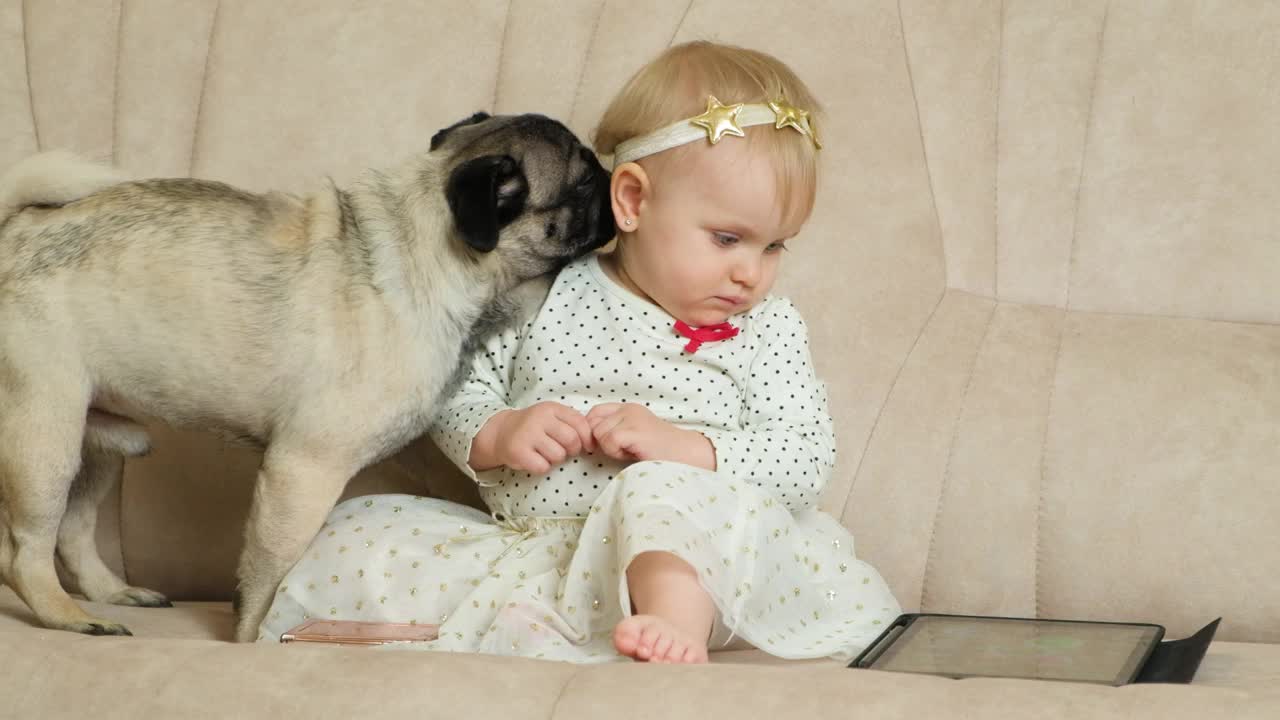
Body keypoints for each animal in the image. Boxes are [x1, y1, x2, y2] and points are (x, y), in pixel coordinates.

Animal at [0, 112, 614, 638]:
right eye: (585, 183)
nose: (612, 178)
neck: (430, 254)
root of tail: (13, 230)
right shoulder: (302, 470)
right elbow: (268, 576)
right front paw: (253, 639)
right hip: (44, 434)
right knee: (25, 552)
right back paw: (68, 616)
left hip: (96, 441)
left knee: (73, 533)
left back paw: (111, 594)